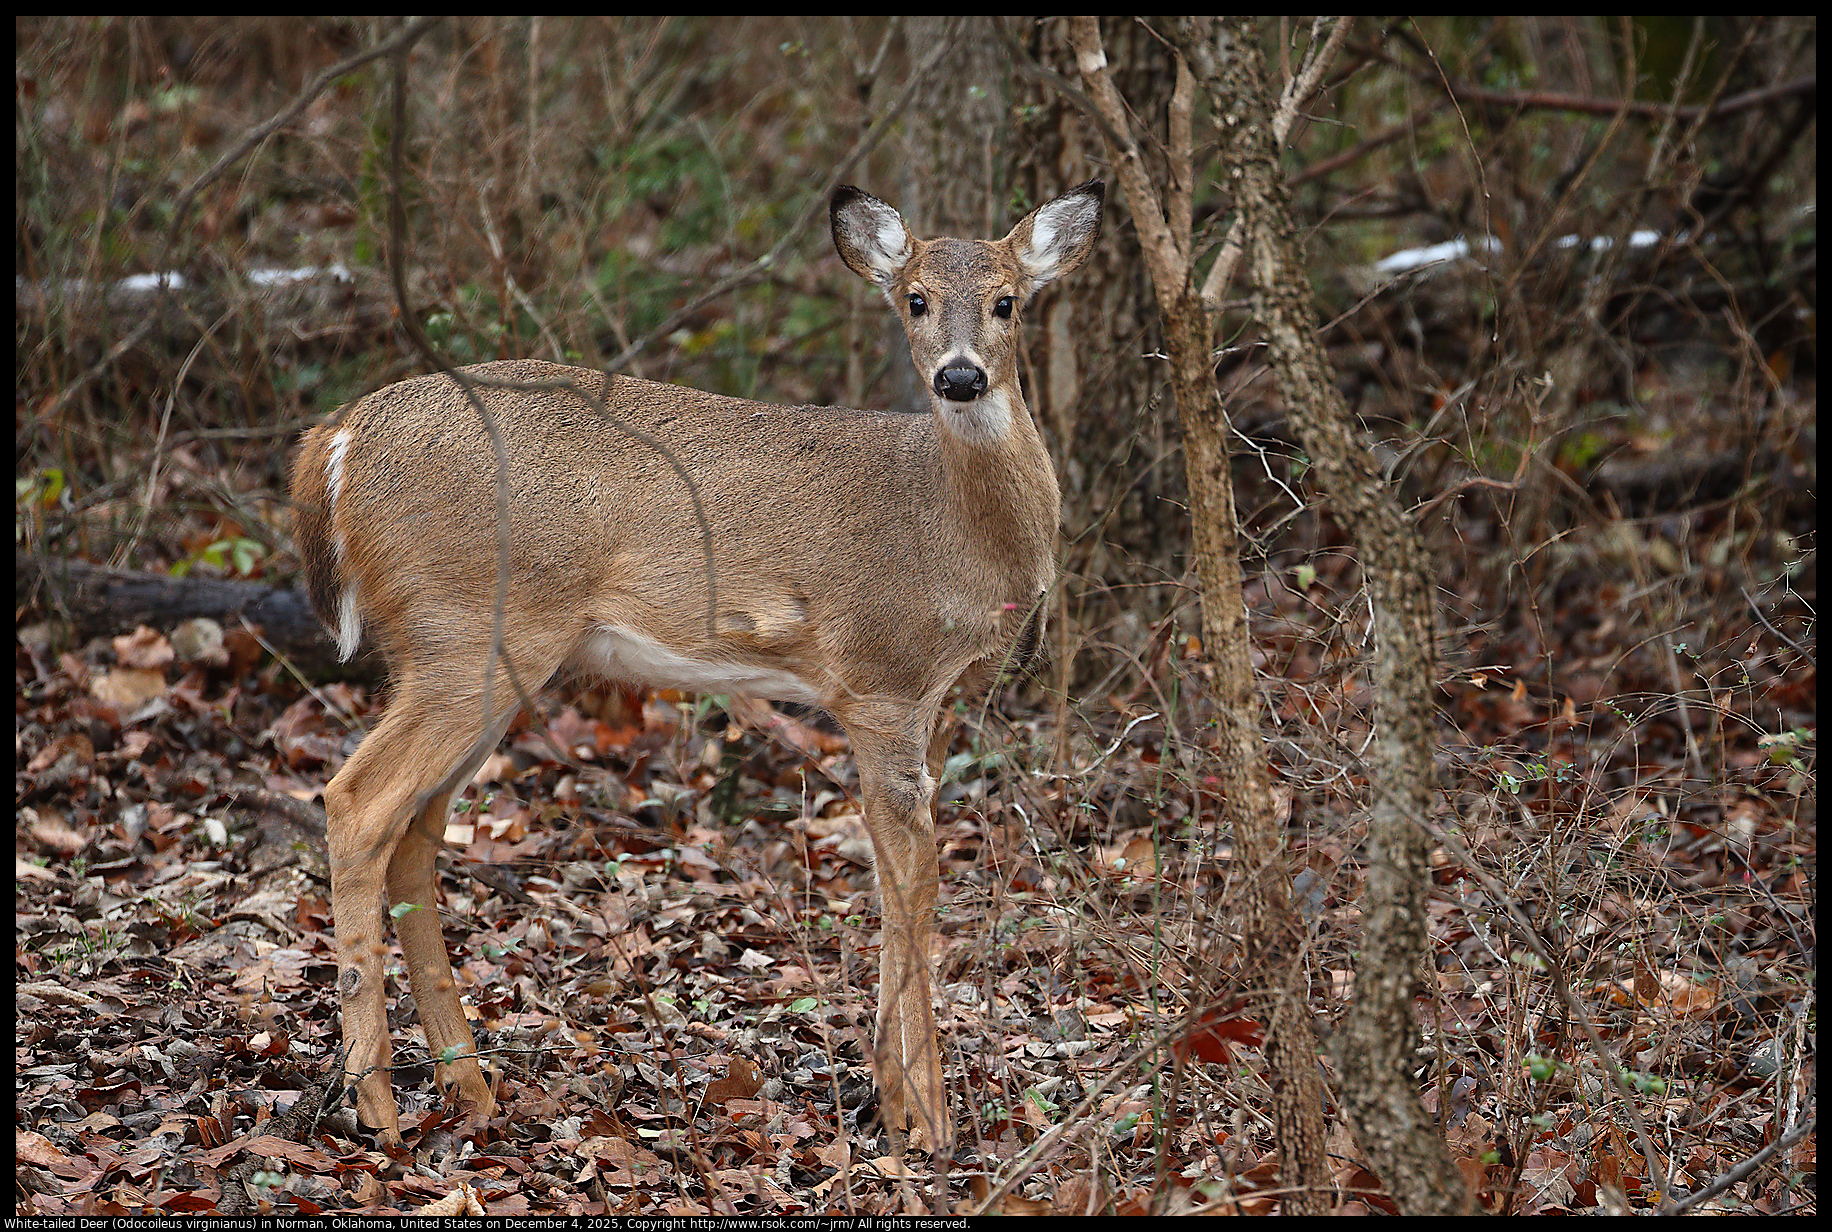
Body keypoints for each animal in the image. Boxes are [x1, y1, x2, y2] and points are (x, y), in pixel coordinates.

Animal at [289, 179, 1103, 1156]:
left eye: (1007, 300)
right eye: (914, 299)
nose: (959, 376)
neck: (953, 532)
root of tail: (335, 441)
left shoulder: (930, 706)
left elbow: (890, 882)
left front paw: (892, 1096)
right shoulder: (879, 681)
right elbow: (915, 887)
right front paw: (927, 1124)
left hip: (475, 657)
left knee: (415, 829)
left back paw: (470, 1090)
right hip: (468, 629)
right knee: (357, 801)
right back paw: (375, 1104)